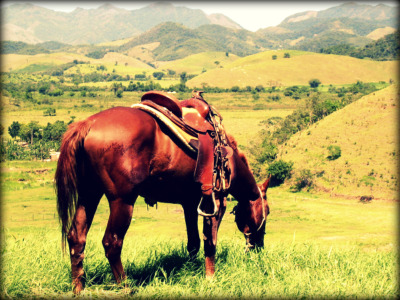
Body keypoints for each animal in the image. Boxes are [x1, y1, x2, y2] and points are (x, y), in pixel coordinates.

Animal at [54, 105, 270, 292]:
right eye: (267, 212)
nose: (259, 247)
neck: (230, 160)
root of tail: (89, 123)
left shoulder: (189, 203)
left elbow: (194, 242)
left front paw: (192, 270)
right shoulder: (216, 203)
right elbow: (210, 243)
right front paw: (210, 278)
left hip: (89, 194)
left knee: (76, 237)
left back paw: (78, 288)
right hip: (122, 201)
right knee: (112, 243)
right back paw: (125, 287)